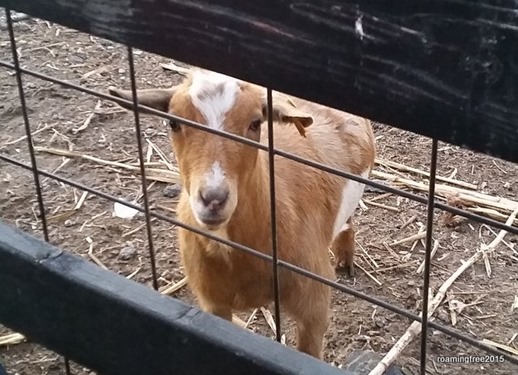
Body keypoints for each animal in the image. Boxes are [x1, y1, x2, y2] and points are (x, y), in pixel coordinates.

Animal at [108, 68, 378, 362]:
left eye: (256, 123)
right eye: (173, 123)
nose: (213, 198)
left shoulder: (313, 301)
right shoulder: (213, 302)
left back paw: (345, 260)